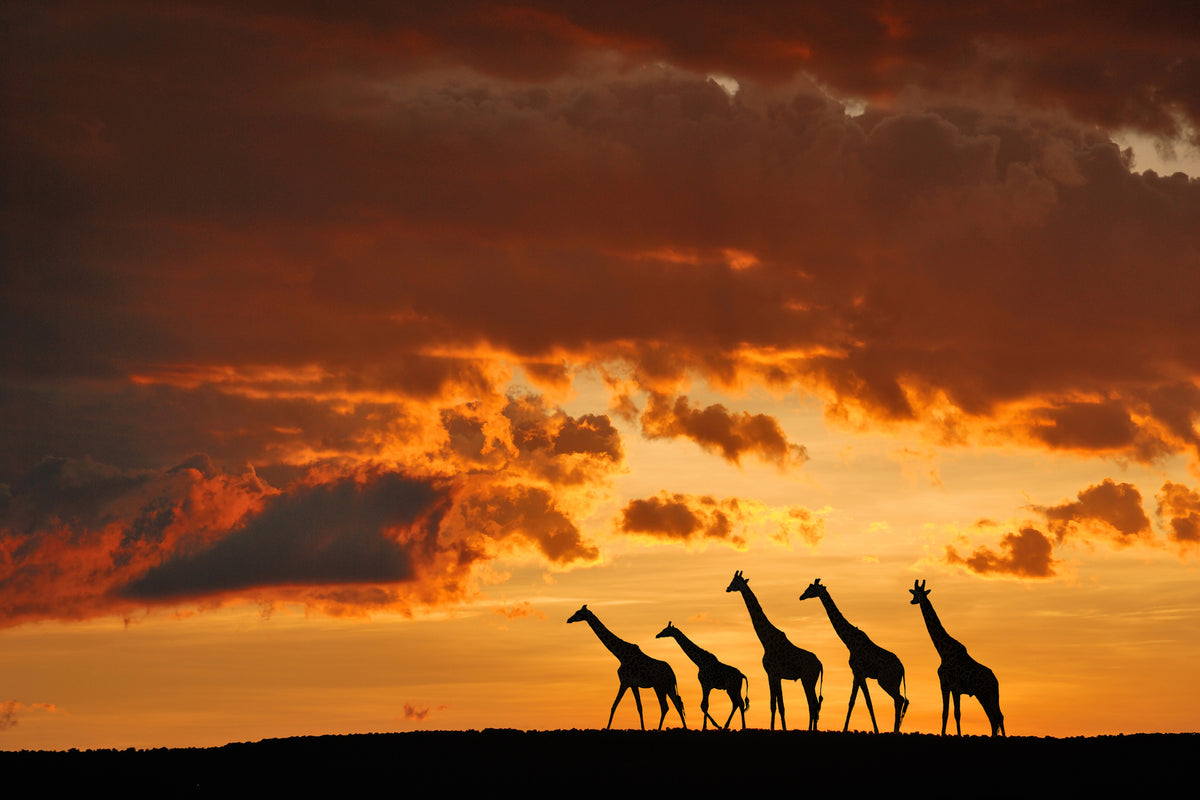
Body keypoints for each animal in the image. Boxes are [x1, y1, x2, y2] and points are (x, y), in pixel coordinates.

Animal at [725, 570, 823, 730]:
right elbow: (777, 705)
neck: (765, 641)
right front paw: (779, 727)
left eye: (734, 581)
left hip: (808, 679)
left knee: (813, 704)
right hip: (810, 680)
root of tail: (820, 664)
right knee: (814, 705)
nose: (727, 588)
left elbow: (776, 705)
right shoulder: (775, 676)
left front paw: (777, 728)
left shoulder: (772, 674)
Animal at [799, 578, 908, 733]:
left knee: (899, 699)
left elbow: (868, 702)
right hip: (894, 682)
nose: (801, 596)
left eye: (811, 589)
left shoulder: (860, 672)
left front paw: (876, 730)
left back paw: (895, 730)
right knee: (899, 700)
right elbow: (852, 702)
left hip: (885, 680)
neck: (849, 641)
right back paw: (895, 729)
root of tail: (902, 668)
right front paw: (844, 729)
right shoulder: (856, 673)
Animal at [909, 579, 1005, 736]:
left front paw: (951, 734)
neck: (942, 651)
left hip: (986, 693)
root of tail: (995, 681)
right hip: (986, 695)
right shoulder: (952, 687)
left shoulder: (948, 685)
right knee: (994, 717)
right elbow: (950, 713)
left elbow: (951, 713)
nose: (912, 601)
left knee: (997, 716)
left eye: (917, 594)